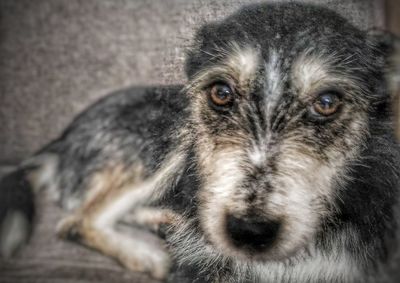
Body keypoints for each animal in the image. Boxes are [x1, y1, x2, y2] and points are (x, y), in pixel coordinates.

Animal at [0, 2, 400, 283]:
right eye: (221, 93)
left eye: (327, 102)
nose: (249, 232)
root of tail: (62, 141)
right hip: (163, 140)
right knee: (75, 221)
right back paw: (145, 251)